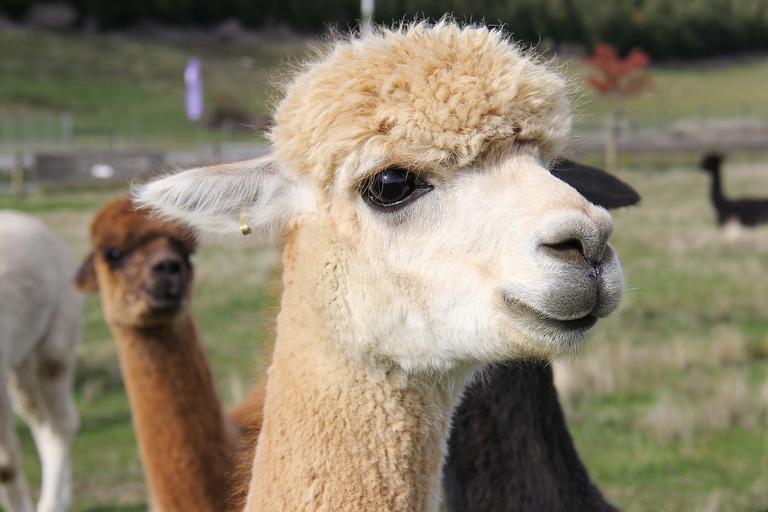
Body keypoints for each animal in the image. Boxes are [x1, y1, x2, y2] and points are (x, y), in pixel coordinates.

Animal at [0, 211, 82, 512]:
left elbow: (5, 467)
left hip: (56, 337)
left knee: (62, 423)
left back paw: (51, 503)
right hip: (20, 360)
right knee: (42, 421)